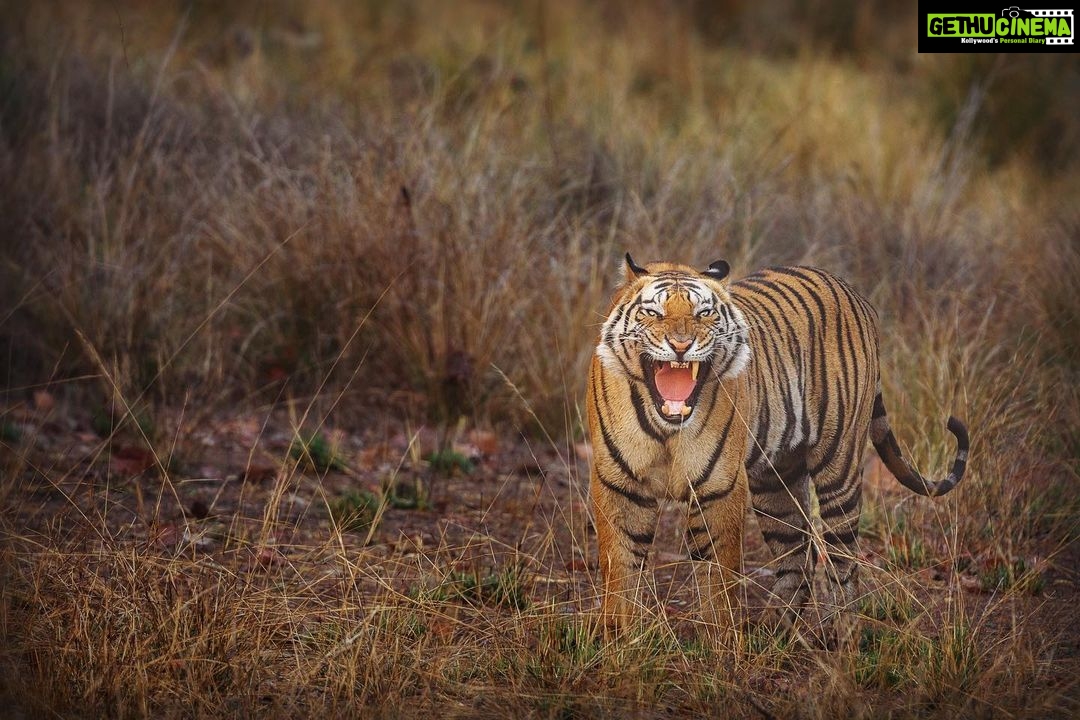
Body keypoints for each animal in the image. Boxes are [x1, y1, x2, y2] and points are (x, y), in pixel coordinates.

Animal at [587, 253, 969, 643]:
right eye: (653, 313)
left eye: (704, 313)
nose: (682, 344)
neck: (667, 427)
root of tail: (853, 291)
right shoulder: (619, 485)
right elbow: (619, 566)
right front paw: (617, 637)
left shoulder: (719, 487)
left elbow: (718, 575)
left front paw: (722, 641)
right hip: (776, 480)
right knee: (797, 553)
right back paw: (775, 631)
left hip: (839, 465)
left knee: (842, 557)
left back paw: (840, 635)